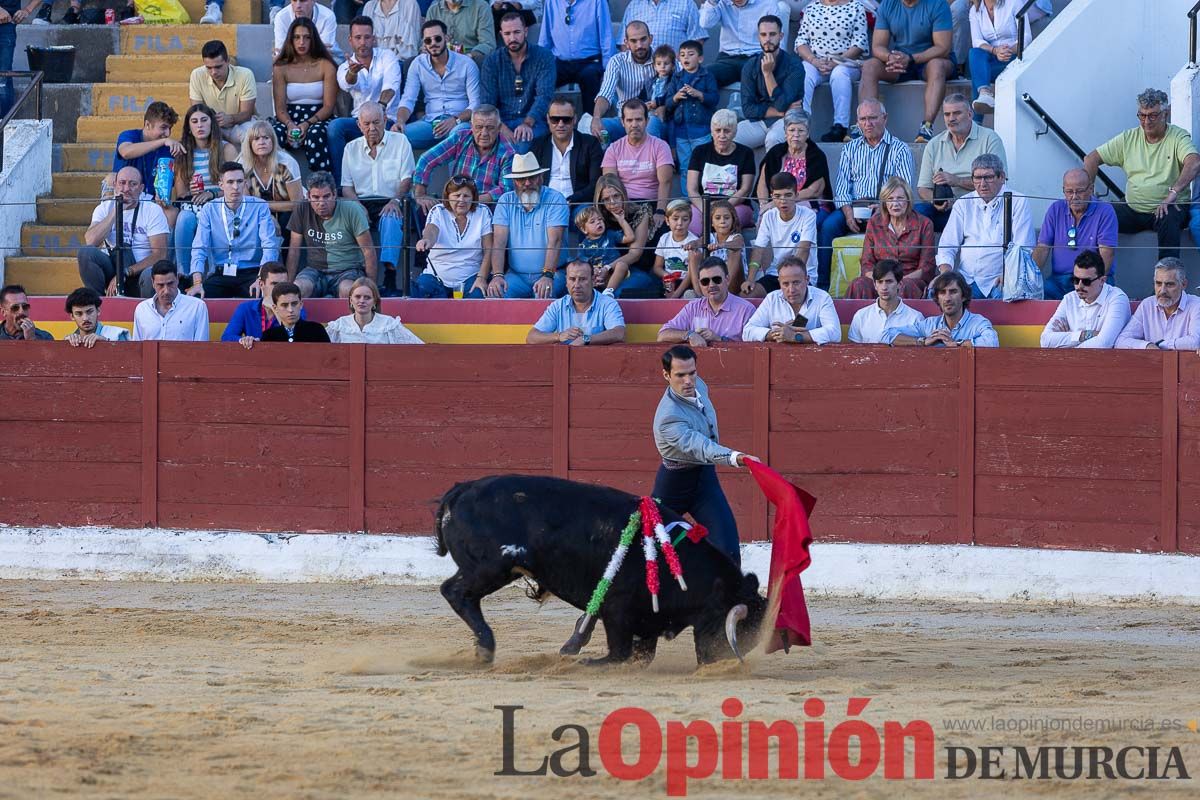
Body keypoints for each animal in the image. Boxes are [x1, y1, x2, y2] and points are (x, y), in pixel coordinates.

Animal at [436, 472, 763, 666]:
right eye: (730, 625)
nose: (722, 665)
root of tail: (462, 489)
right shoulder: (617, 607)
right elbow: (620, 653)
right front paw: (586, 660)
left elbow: (641, 654)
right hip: (492, 567)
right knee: (455, 592)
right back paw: (485, 649)